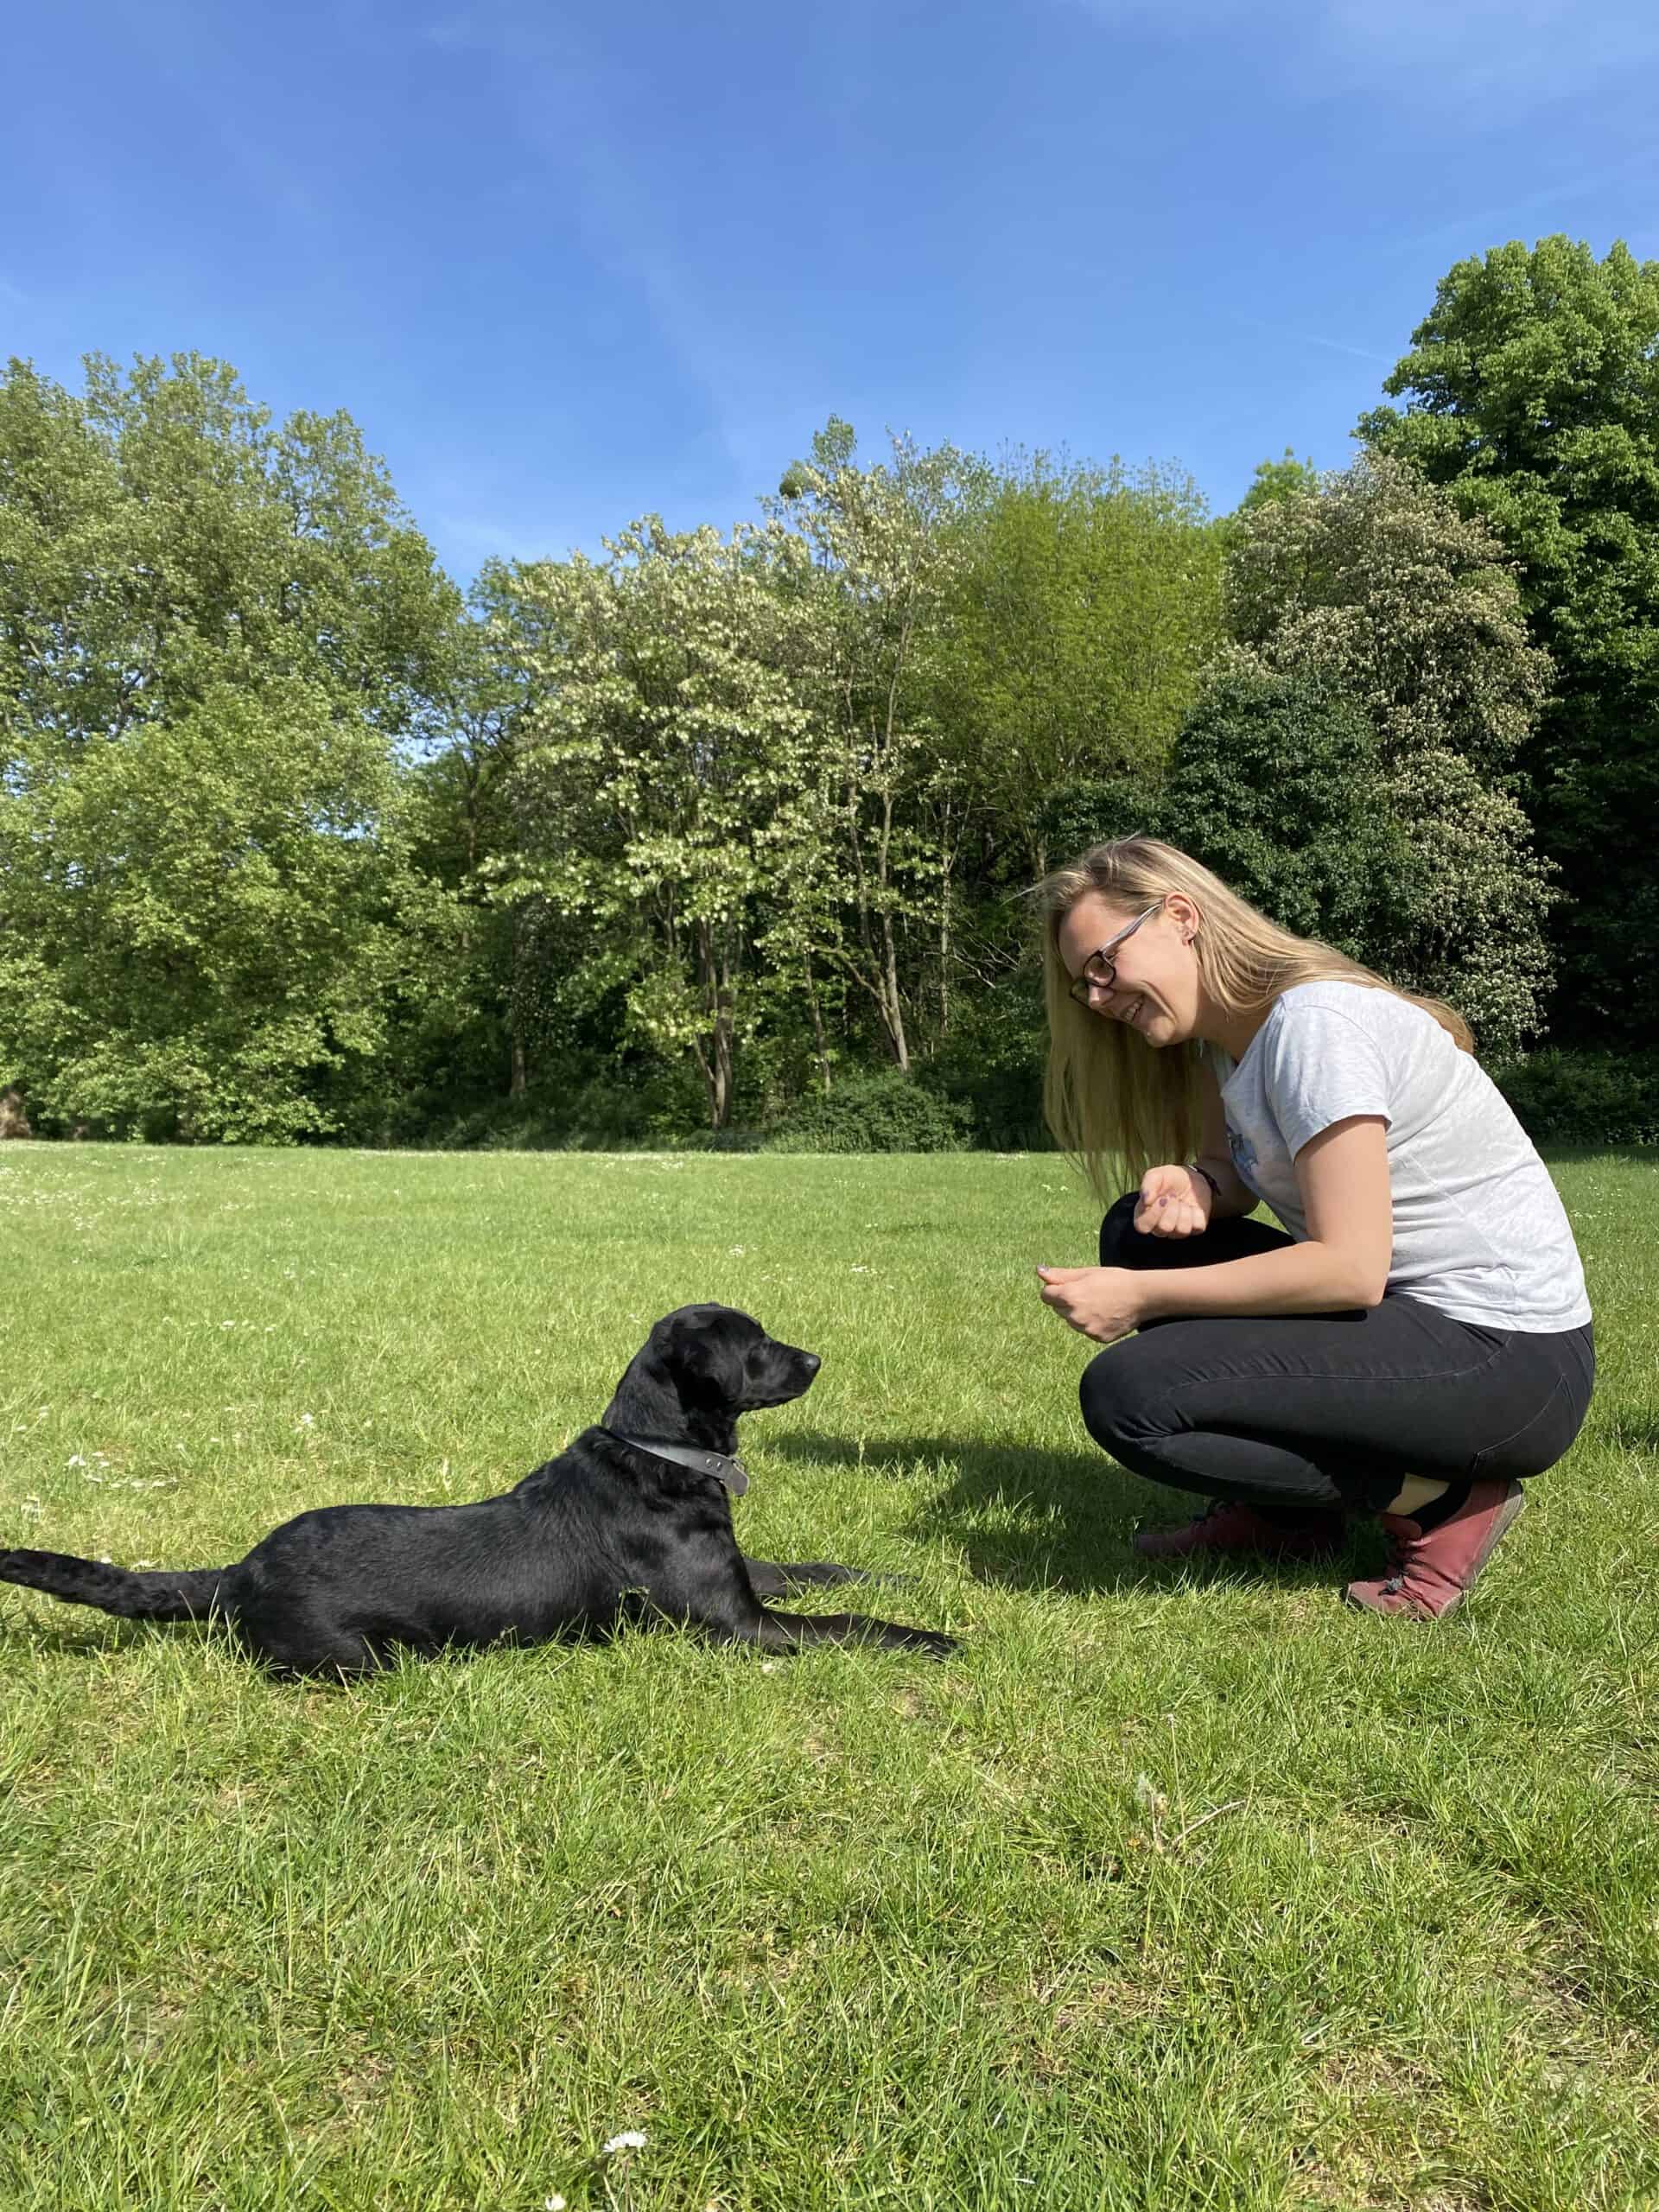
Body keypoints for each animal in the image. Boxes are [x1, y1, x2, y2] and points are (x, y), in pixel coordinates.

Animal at [0, 1292, 955, 1672]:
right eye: (752, 1343)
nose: (817, 1360)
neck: (663, 1454)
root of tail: (238, 1572)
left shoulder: (742, 1579)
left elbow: (827, 1572)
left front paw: (909, 1579)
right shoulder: (736, 1624)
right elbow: (847, 1623)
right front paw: (931, 1638)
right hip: (355, 1658)